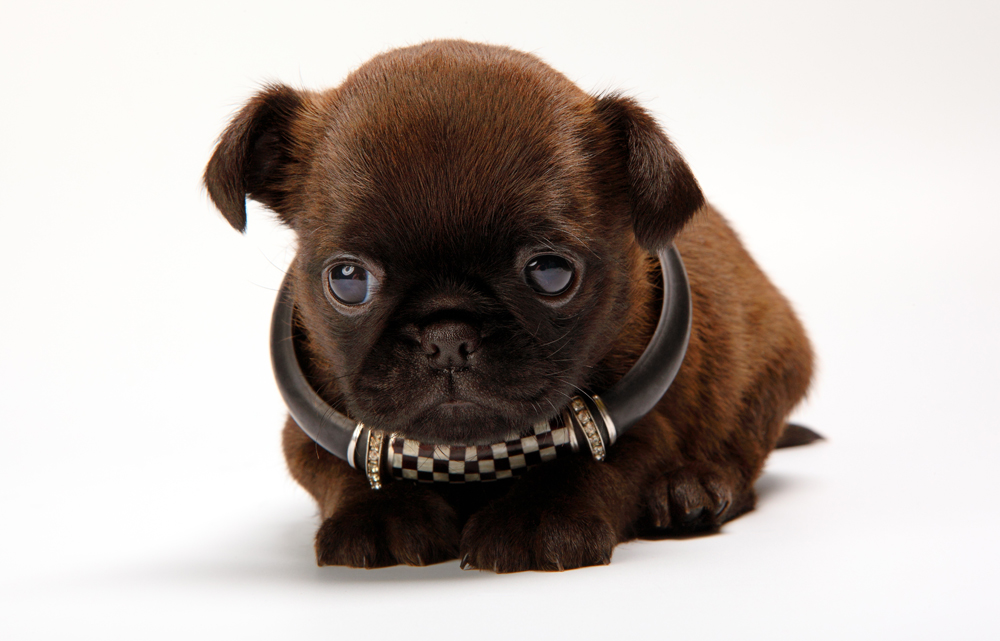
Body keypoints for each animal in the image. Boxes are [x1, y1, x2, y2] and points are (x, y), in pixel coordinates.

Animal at [203, 38, 812, 568]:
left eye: (551, 273)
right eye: (348, 281)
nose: (447, 337)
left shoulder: (648, 427)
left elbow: (601, 464)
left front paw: (539, 520)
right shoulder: (306, 436)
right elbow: (339, 468)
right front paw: (381, 513)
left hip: (771, 373)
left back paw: (694, 490)